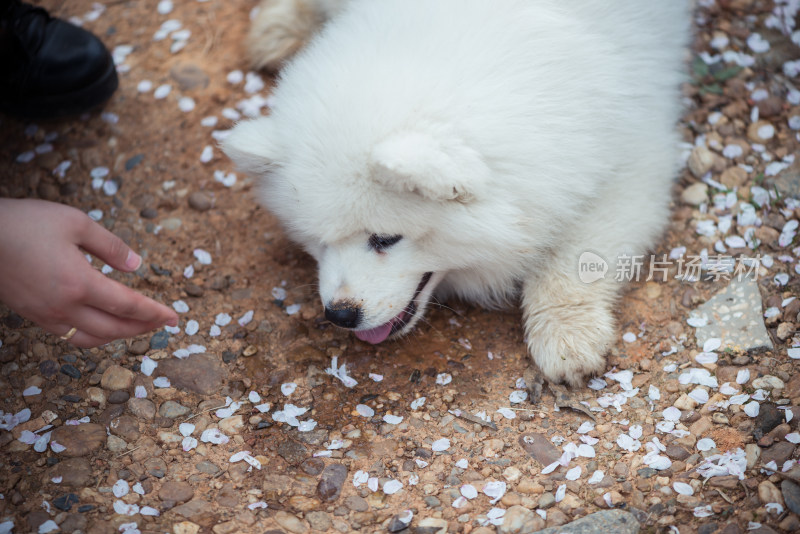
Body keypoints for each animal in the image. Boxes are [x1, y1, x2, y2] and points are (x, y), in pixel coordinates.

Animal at [223, 0, 688, 386]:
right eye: (317, 242)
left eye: (385, 239)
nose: (340, 315)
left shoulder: (633, 155)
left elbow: (575, 255)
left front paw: (566, 333)